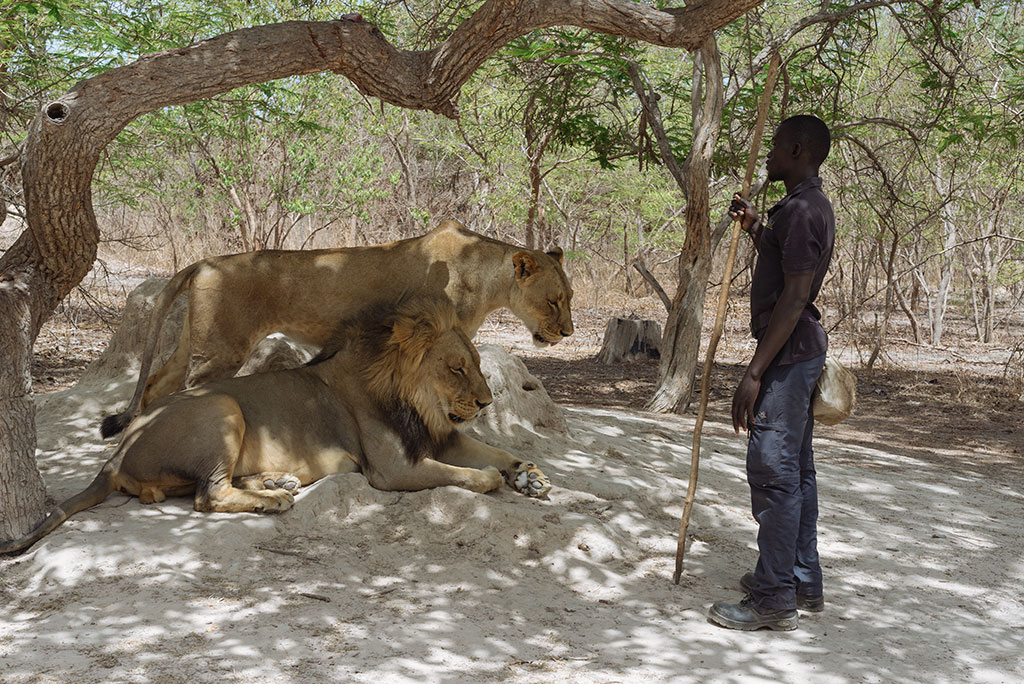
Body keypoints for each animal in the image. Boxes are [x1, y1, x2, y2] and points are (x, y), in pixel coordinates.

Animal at [2, 294, 552, 557]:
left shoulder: (441, 435)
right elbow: (468, 475)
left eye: (476, 364)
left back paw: (276, 481)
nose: (486, 401)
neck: (416, 403)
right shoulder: (394, 468)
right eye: (456, 368)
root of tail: (114, 456)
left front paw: (529, 475)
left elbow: (496, 453)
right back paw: (275, 499)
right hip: (222, 405)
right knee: (208, 496)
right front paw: (495, 479)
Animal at [101, 219, 577, 438]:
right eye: (554, 300)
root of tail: (205, 261)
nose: (569, 332)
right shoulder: (438, 336)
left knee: (155, 384)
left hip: (193, 343)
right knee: (188, 389)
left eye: (570, 296)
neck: (485, 276)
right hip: (221, 350)